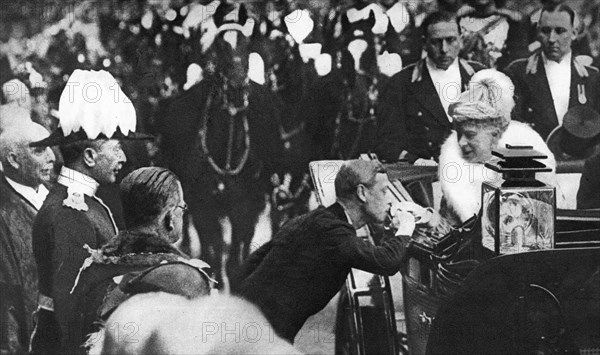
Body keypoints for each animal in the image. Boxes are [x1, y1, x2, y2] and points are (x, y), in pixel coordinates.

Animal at [161, 2, 284, 290]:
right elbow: (214, 253)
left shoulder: (247, 207)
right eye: (220, 44)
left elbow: (236, 256)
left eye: (247, 43)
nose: (238, 87)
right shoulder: (205, 206)